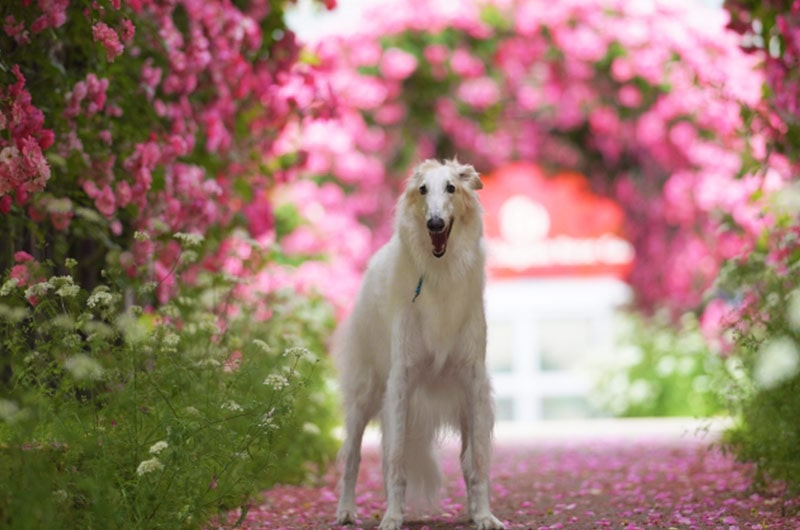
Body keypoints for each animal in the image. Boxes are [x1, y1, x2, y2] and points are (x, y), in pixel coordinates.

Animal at [334, 158, 504, 528]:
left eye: (451, 188)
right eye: (423, 189)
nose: (435, 223)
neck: (440, 274)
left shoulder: (473, 382)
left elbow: (478, 463)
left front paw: (484, 515)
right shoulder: (401, 379)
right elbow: (395, 461)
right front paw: (392, 517)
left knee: (466, 458)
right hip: (366, 394)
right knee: (353, 456)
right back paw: (346, 510)